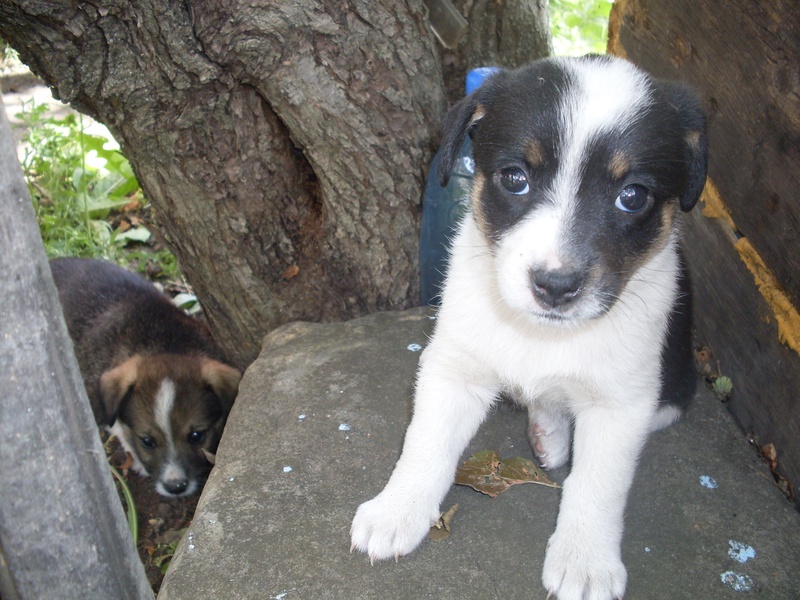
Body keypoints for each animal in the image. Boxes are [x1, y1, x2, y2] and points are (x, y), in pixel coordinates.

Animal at [350, 54, 708, 596]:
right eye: (515, 178)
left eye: (633, 196)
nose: (556, 286)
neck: (543, 333)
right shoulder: (454, 367)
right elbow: (425, 443)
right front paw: (397, 510)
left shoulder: (620, 402)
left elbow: (598, 484)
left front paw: (585, 561)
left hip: (674, 381)